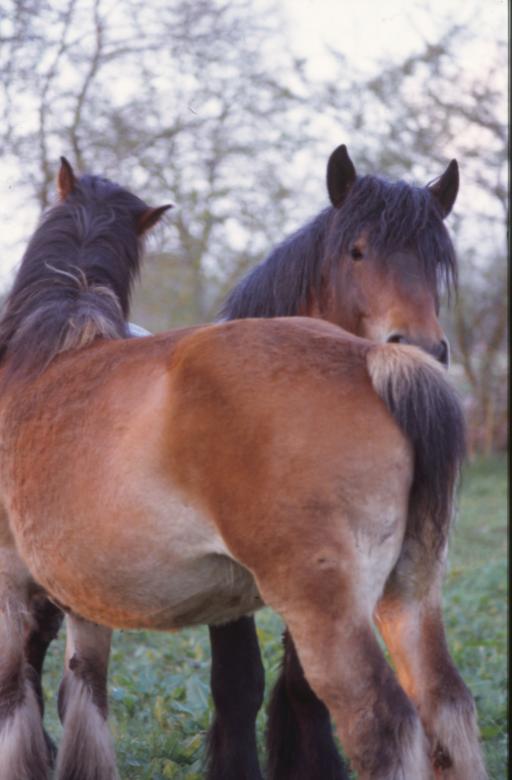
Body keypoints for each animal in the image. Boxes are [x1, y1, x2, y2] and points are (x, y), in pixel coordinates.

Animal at [0, 160, 486, 780]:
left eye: (437, 262)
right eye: (355, 252)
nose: (425, 342)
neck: (45, 350)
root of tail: (372, 357)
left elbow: (18, 699)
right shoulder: (86, 593)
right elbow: (86, 698)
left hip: (329, 612)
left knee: (383, 723)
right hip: (408, 597)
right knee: (447, 704)